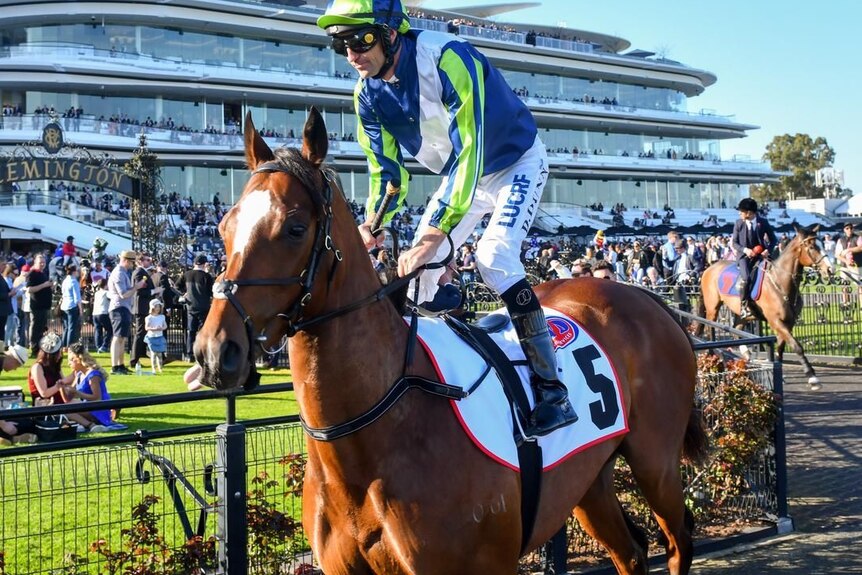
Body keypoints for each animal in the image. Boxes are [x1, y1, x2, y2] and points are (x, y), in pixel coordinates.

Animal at [196, 109, 708, 575]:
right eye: (224, 227)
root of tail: (645, 297)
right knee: (632, 553)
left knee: (678, 541)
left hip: (655, 462)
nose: (214, 350)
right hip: (590, 481)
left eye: (295, 228)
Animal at [700, 223, 832, 390]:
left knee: (737, 327)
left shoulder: (788, 323)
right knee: (709, 328)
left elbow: (781, 347)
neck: (780, 282)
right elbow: (797, 346)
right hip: (713, 308)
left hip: (744, 314)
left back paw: (746, 354)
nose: (830, 269)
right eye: (812, 247)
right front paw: (812, 376)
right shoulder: (776, 321)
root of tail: (709, 268)